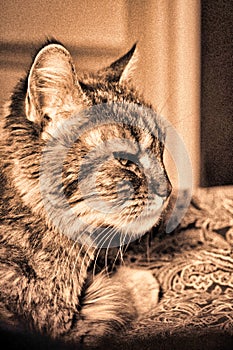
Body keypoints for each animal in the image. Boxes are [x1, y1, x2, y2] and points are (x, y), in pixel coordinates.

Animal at [0, 41, 171, 348]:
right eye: (125, 160)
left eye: (160, 151)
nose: (168, 190)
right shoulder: (58, 325)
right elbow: (116, 294)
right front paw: (142, 283)